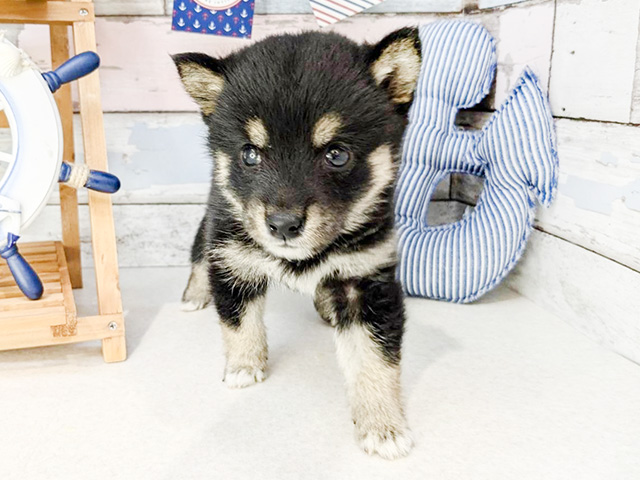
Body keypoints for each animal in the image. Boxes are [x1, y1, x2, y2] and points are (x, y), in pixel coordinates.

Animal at [174, 27, 420, 462]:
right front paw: (243, 366)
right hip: (213, 220)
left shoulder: (367, 280)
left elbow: (375, 359)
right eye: (250, 154)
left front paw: (383, 425)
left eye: (337, 154)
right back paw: (194, 294)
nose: (283, 225)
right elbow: (238, 322)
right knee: (199, 255)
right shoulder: (232, 259)